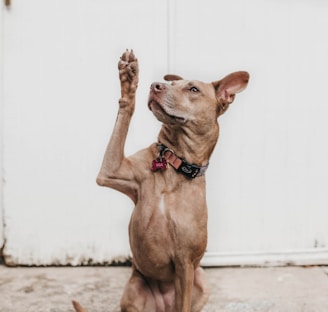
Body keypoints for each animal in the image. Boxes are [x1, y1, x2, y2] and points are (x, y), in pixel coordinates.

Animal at [73, 50, 249, 312]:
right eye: (172, 84)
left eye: (193, 89)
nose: (155, 85)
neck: (174, 164)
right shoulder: (110, 171)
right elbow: (124, 113)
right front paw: (129, 81)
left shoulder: (185, 263)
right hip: (134, 289)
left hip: (201, 280)